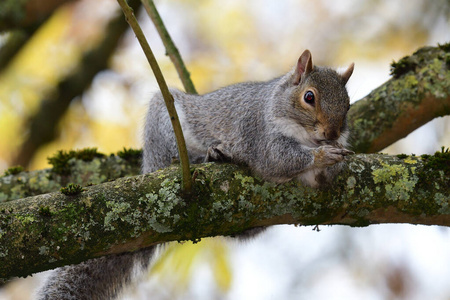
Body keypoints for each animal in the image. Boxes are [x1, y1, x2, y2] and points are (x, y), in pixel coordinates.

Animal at [37, 50, 356, 298]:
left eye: (348, 105)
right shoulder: (258, 133)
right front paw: (321, 156)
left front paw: (335, 155)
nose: (331, 133)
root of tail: (149, 164)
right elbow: (276, 158)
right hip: (165, 130)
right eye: (309, 97)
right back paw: (212, 155)